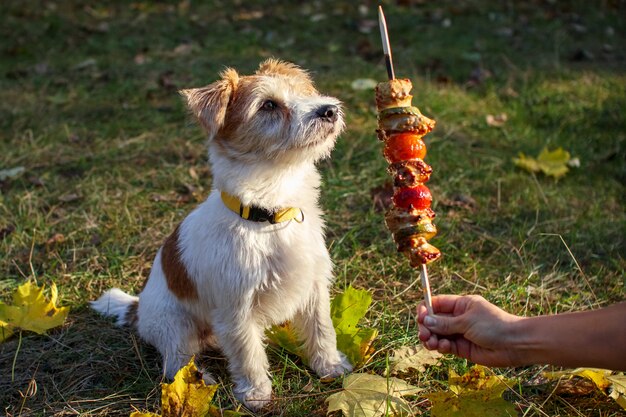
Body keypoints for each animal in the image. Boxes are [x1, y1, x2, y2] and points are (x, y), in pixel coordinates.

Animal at [89, 59, 352, 410]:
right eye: (268, 105)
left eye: (303, 92)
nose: (329, 110)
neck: (268, 215)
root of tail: (139, 308)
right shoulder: (236, 308)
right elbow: (248, 354)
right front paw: (256, 394)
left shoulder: (313, 287)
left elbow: (322, 329)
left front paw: (330, 366)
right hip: (175, 326)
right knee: (174, 364)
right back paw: (199, 381)